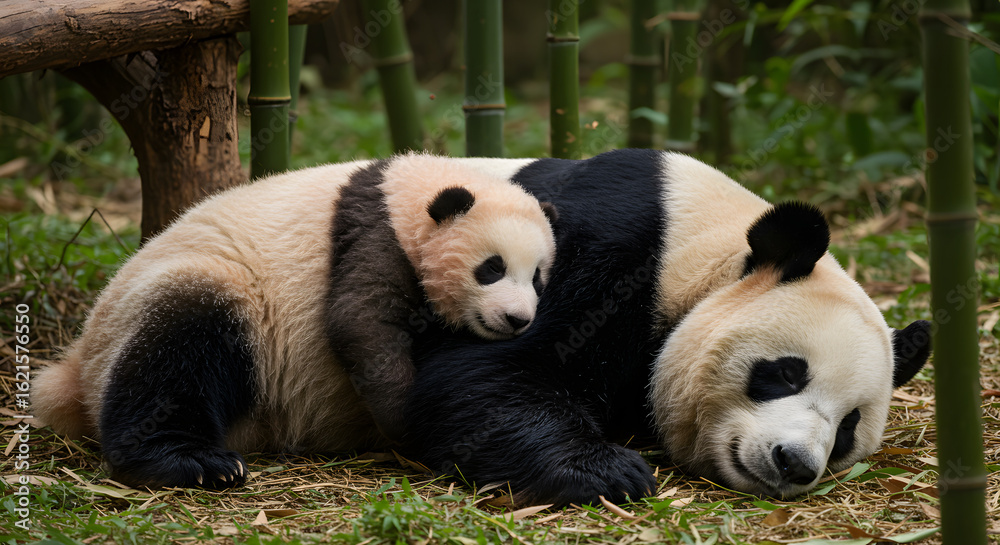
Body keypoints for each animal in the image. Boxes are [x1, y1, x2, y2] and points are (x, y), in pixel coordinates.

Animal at [31, 153, 558, 489]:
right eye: (491, 268)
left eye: (537, 277)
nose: (516, 319)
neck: (406, 185)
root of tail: (77, 363)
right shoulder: (371, 234)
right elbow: (359, 321)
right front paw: (406, 420)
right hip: (210, 290)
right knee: (176, 353)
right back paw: (197, 463)